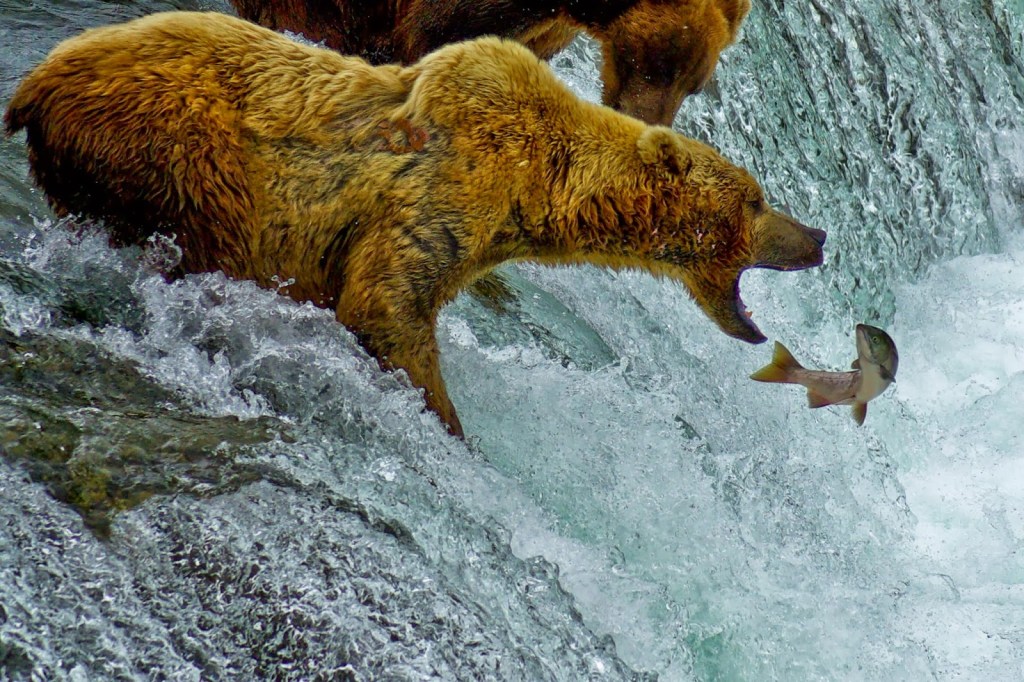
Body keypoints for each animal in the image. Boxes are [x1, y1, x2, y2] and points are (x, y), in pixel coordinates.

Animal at [4, 11, 825, 437]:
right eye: (755, 200)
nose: (817, 236)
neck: (541, 185)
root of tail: (34, 83)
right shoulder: (445, 187)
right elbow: (387, 303)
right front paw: (449, 420)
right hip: (178, 152)